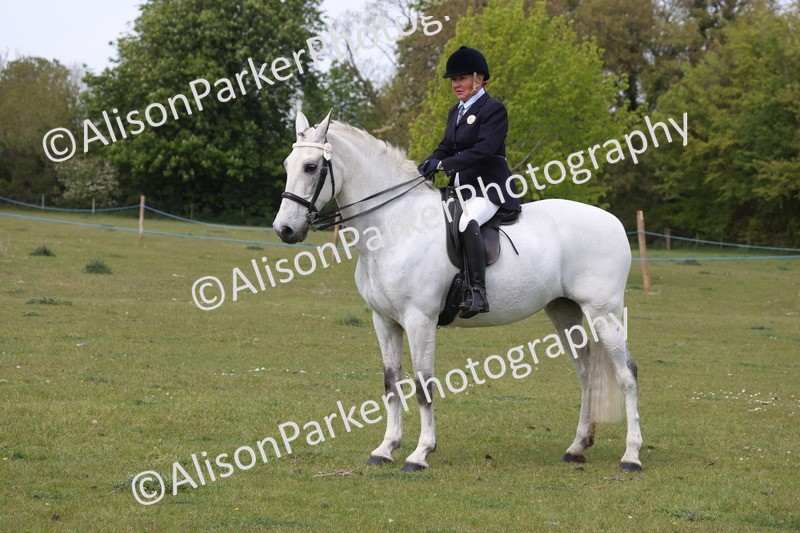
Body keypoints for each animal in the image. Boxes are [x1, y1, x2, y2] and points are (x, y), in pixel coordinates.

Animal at [272, 110, 643, 473]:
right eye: (288, 165)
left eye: (311, 167)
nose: (284, 230)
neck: (394, 225)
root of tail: (614, 222)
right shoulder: (384, 320)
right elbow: (392, 383)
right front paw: (386, 448)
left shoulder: (419, 319)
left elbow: (423, 385)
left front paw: (420, 453)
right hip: (564, 309)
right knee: (586, 372)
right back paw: (577, 447)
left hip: (603, 312)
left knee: (627, 374)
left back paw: (631, 456)